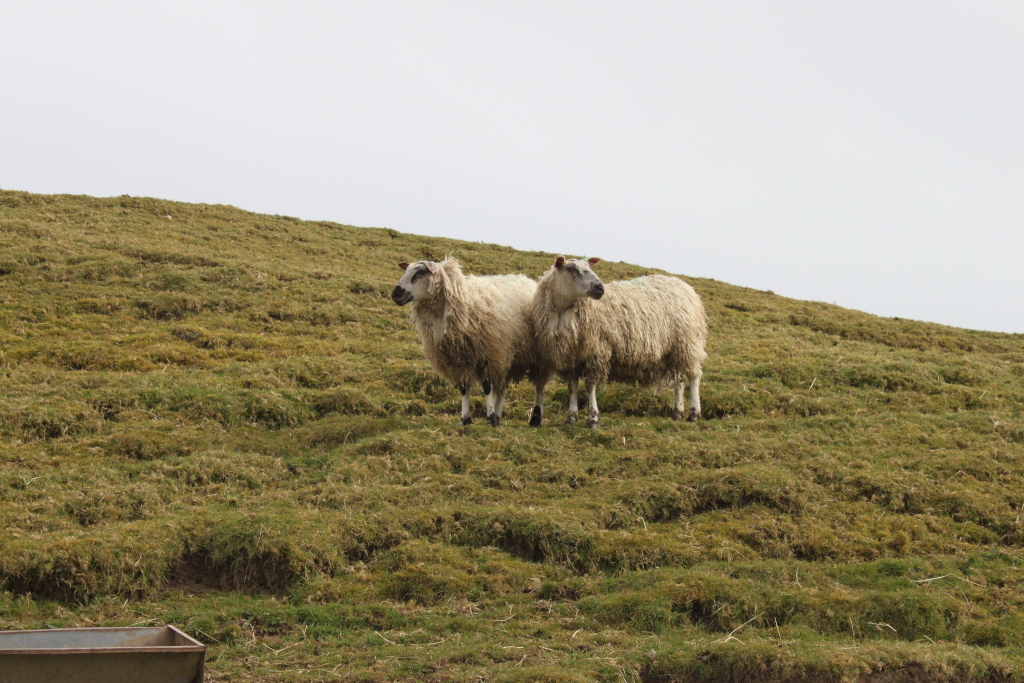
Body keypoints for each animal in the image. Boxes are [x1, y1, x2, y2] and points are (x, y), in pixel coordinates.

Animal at [391, 257, 551, 427]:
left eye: (420, 272)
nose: (395, 294)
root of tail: (527, 279)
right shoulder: (458, 361)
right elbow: (463, 388)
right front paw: (466, 419)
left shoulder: (487, 355)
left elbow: (487, 387)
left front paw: (490, 418)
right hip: (508, 355)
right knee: (503, 388)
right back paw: (499, 415)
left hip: (538, 355)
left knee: (540, 386)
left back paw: (535, 418)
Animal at [530, 256, 708, 428]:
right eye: (572, 269)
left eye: (589, 267)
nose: (599, 288)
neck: (564, 311)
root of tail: (685, 286)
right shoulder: (571, 356)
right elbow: (572, 387)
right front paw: (571, 417)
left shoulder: (597, 351)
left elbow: (590, 384)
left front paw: (593, 418)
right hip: (675, 350)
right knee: (680, 379)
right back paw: (678, 412)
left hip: (688, 343)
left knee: (694, 376)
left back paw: (694, 414)